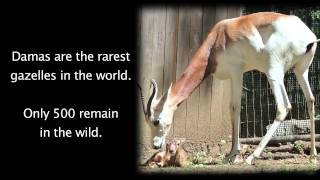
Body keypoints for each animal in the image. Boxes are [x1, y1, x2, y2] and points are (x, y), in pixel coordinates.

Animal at [141, 11, 318, 165]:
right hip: (301, 70)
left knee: (283, 107)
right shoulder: (236, 74)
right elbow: (235, 109)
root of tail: (308, 36)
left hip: (273, 72)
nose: (155, 145)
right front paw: (233, 154)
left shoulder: (236, 72)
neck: (218, 38)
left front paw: (232, 154)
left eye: (156, 121)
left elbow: (234, 108)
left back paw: (252, 157)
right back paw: (313, 154)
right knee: (310, 99)